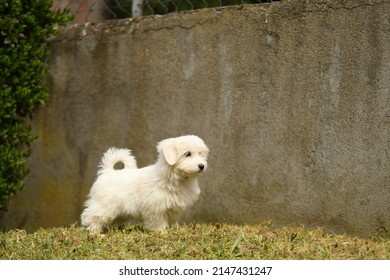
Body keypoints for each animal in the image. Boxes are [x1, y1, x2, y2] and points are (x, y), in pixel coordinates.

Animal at [79, 135, 209, 233]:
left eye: (201, 154)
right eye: (187, 154)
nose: (202, 166)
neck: (175, 178)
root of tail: (107, 171)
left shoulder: (173, 208)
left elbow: (172, 220)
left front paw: (173, 230)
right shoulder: (155, 208)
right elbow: (158, 222)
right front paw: (161, 232)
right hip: (103, 204)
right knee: (92, 216)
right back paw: (95, 233)